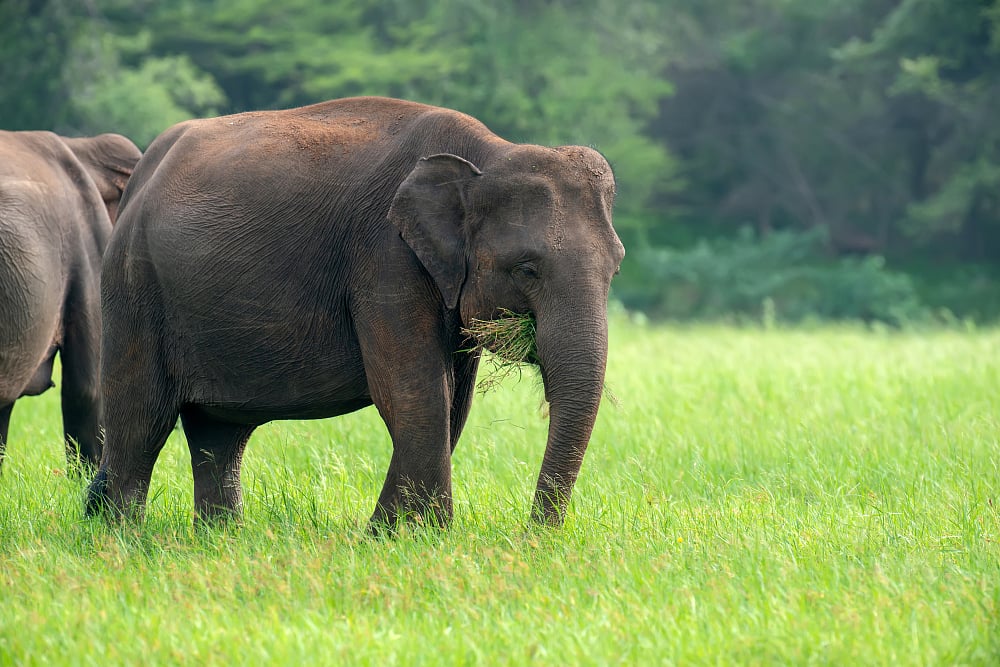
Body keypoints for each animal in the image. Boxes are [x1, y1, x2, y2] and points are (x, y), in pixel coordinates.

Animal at [85, 96, 624, 530]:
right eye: (527, 268)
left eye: (616, 267)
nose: (533, 535)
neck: (488, 154)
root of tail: (142, 174)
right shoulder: (385, 258)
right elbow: (416, 392)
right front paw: (419, 537)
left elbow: (454, 402)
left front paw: (391, 533)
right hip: (133, 289)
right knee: (141, 418)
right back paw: (124, 539)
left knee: (219, 433)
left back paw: (221, 538)